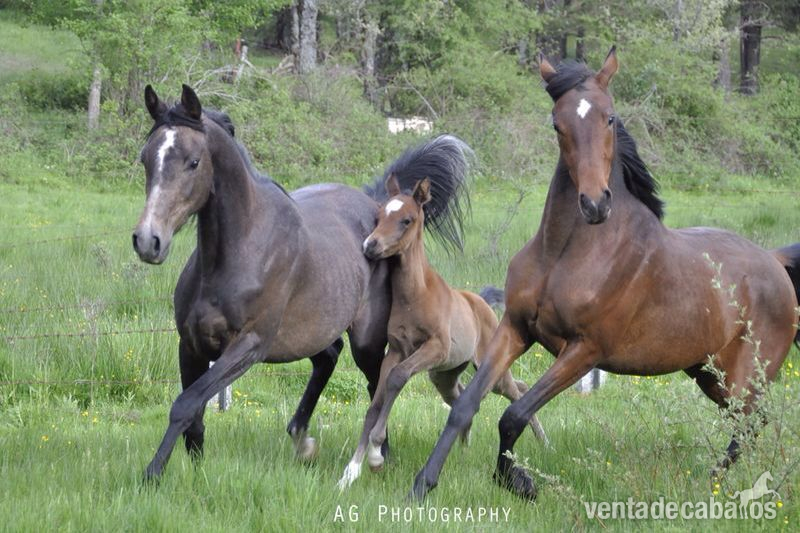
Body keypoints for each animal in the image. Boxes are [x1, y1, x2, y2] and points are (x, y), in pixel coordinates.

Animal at [132, 84, 473, 481]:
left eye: (193, 162)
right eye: (146, 159)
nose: (148, 240)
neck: (237, 254)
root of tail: (377, 206)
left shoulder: (248, 345)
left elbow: (185, 405)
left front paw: (152, 474)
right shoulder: (191, 344)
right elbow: (194, 415)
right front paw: (193, 470)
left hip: (367, 340)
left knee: (377, 384)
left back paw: (376, 455)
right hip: (314, 329)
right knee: (329, 358)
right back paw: (302, 438)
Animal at [336, 175, 548, 489]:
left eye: (407, 220)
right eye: (379, 216)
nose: (370, 245)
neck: (415, 294)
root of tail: (482, 302)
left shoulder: (435, 347)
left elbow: (397, 378)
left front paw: (375, 454)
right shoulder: (396, 349)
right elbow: (376, 402)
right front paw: (351, 471)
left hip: (484, 366)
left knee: (516, 388)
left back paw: (543, 441)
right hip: (444, 375)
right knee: (461, 396)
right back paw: (463, 446)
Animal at [411, 48, 800, 501]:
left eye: (610, 118)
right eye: (557, 123)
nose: (595, 203)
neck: (564, 254)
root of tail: (774, 261)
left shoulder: (584, 350)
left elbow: (514, 413)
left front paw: (518, 482)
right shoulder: (516, 329)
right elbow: (465, 406)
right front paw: (422, 485)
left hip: (745, 377)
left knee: (749, 424)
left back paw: (713, 486)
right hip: (708, 373)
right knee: (751, 423)